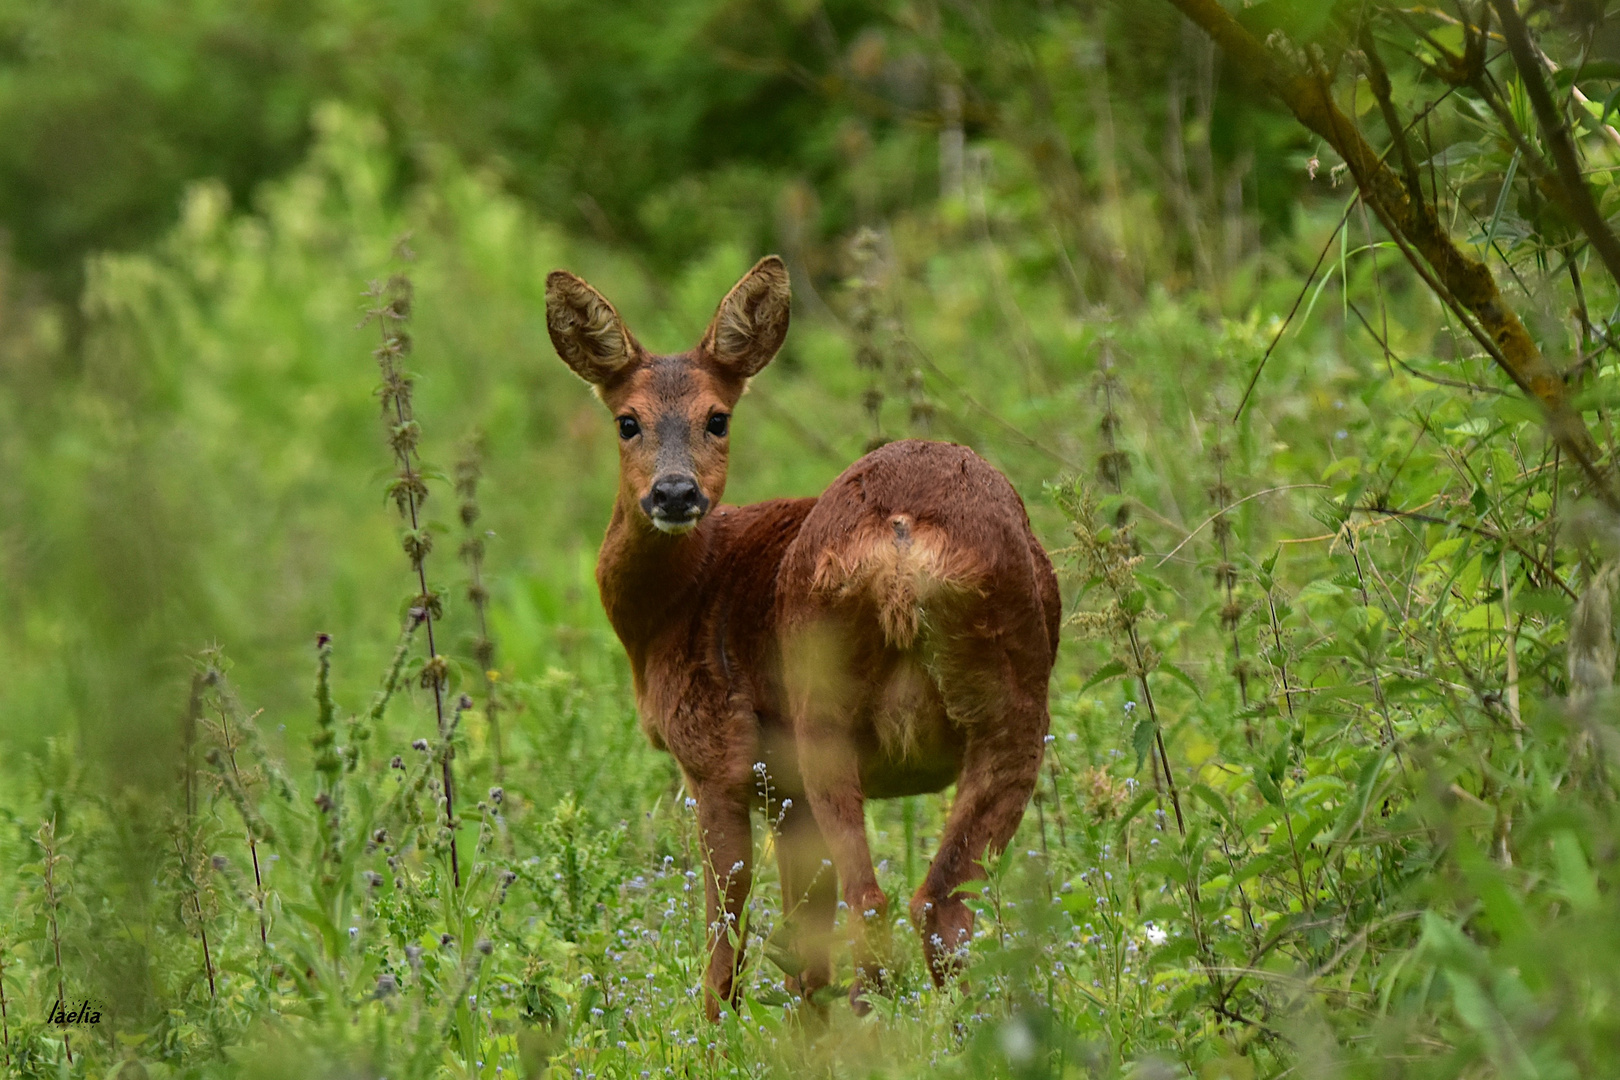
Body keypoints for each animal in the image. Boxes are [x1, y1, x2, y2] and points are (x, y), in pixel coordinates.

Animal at [544, 257, 1062, 1016]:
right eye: (627, 421)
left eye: (718, 417)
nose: (675, 494)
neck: (679, 601)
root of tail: (902, 535)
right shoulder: (781, 798)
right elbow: (801, 956)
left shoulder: (718, 755)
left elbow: (729, 931)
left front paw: (715, 1031)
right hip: (1013, 704)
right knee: (939, 904)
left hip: (821, 708)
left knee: (872, 902)